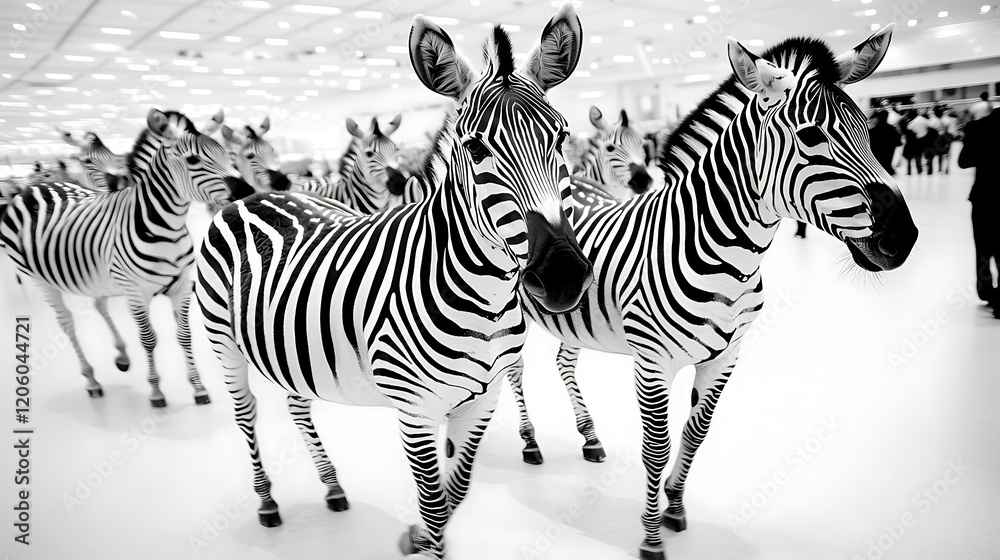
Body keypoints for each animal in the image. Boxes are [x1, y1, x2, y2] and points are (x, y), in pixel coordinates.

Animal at [1, 108, 253, 407]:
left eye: (227, 154)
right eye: (193, 159)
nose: (247, 192)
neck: (166, 227)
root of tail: (35, 187)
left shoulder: (181, 286)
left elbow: (184, 336)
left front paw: (198, 387)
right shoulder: (135, 292)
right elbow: (148, 339)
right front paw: (156, 392)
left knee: (99, 305)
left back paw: (121, 356)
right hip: (41, 281)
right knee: (67, 323)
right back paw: (92, 381)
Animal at [195, 8, 589, 559]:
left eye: (561, 137)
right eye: (475, 148)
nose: (563, 275)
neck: (486, 302)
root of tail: (251, 195)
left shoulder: (482, 401)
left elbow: (456, 491)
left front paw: (416, 536)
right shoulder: (415, 409)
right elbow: (436, 503)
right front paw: (425, 536)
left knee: (296, 404)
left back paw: (332, 487)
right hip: (223, 343)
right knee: (246, 413)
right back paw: (267, 503)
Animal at [515, 26, 918, 560]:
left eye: (870, 133)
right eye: (811, 136)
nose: (904, 237)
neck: (723, 257)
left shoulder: (727, 357)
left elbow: (696, 435)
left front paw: (675, 504)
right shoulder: (652, 363)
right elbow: (657, 446)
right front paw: (650, 537)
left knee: (562, 362)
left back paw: (590, 437)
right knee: (513, 373)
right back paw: (529, 442)